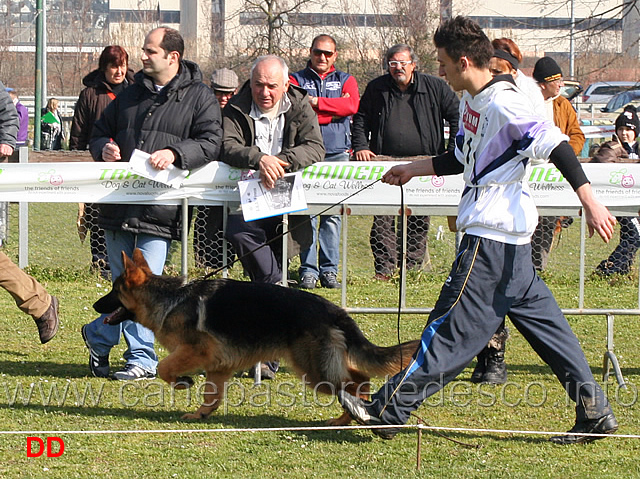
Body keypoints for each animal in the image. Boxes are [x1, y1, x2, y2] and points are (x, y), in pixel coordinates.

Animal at [92, 249, 418, 422]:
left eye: (113, 292)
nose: (95, 305)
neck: (169, 298)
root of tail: (333, 309)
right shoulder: (219, 366)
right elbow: (212, 393)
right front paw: (201, 414)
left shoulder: (196, 352)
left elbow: (164, 367)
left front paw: (183, 382)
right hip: (321, 367)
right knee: (359, 378)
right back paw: (349, 417)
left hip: (314, 371)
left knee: (356, 381)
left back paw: (351, 415)